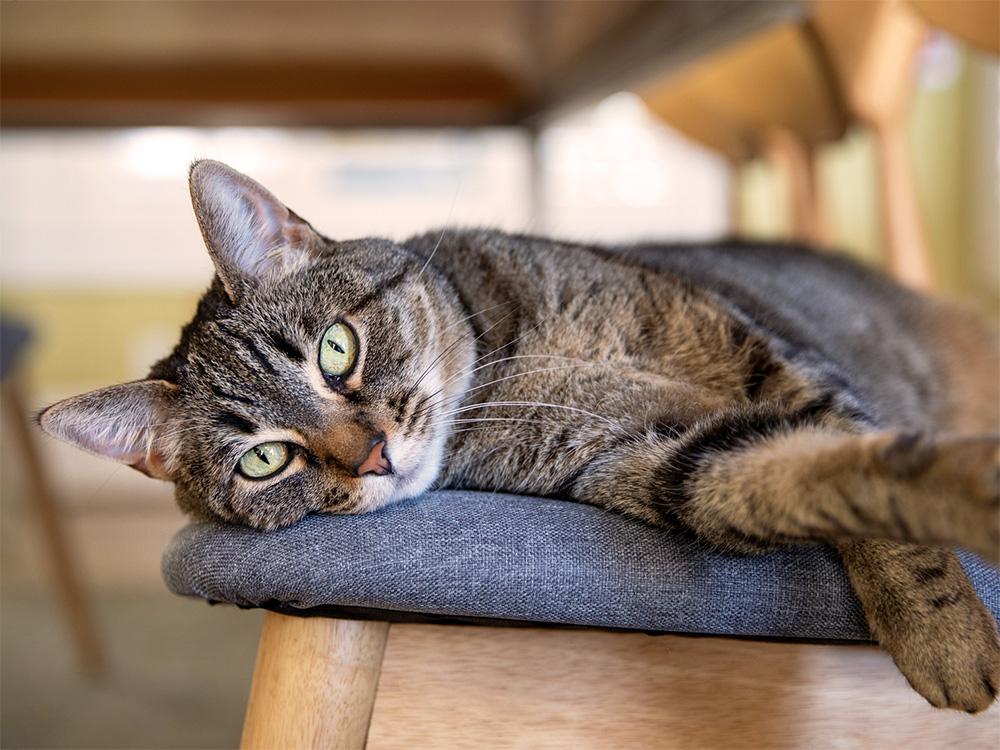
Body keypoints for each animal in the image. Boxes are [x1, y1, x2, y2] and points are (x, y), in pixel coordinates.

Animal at [39, 162, 1000, 712]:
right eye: (265, 459)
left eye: (336, 350)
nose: (373, 454)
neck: (513, 366)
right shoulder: (667, 463)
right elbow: (830, 479)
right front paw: (947, 630)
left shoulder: (777, 361)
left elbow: (865, 460)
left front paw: (941, 619)